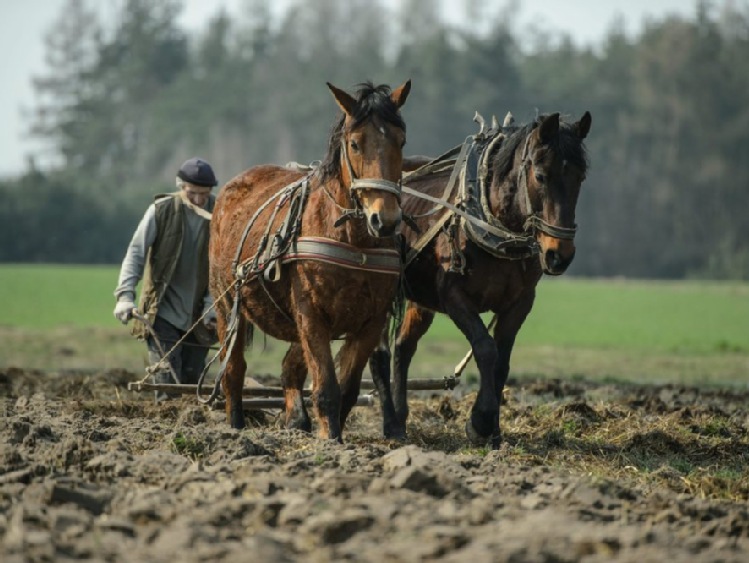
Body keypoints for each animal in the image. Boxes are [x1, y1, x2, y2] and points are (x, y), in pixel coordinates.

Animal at [207, 80, 412, 440]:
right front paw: (330, 440)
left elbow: (347, 389)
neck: (352, 239)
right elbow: (326, 388)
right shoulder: (311, 314)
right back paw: (236, 426)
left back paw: (296, 421)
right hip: (226, 302)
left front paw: (331, 434)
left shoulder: (371, 321)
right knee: (233, 370)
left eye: (400, 141)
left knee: (290, 368)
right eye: (355, 143)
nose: (384, 220)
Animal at [368, 110, 592, 450]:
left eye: (580, 177)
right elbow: (486, 349)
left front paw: (494, 431)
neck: (495, 224)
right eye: (540, 175)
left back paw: (402, 416)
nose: (560, 255)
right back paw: (390, 423)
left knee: (403, 347)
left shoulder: (520, 303)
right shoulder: (455, 297)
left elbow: (502, 362)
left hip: (420, 302)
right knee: (378, 352)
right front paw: (480, 421)